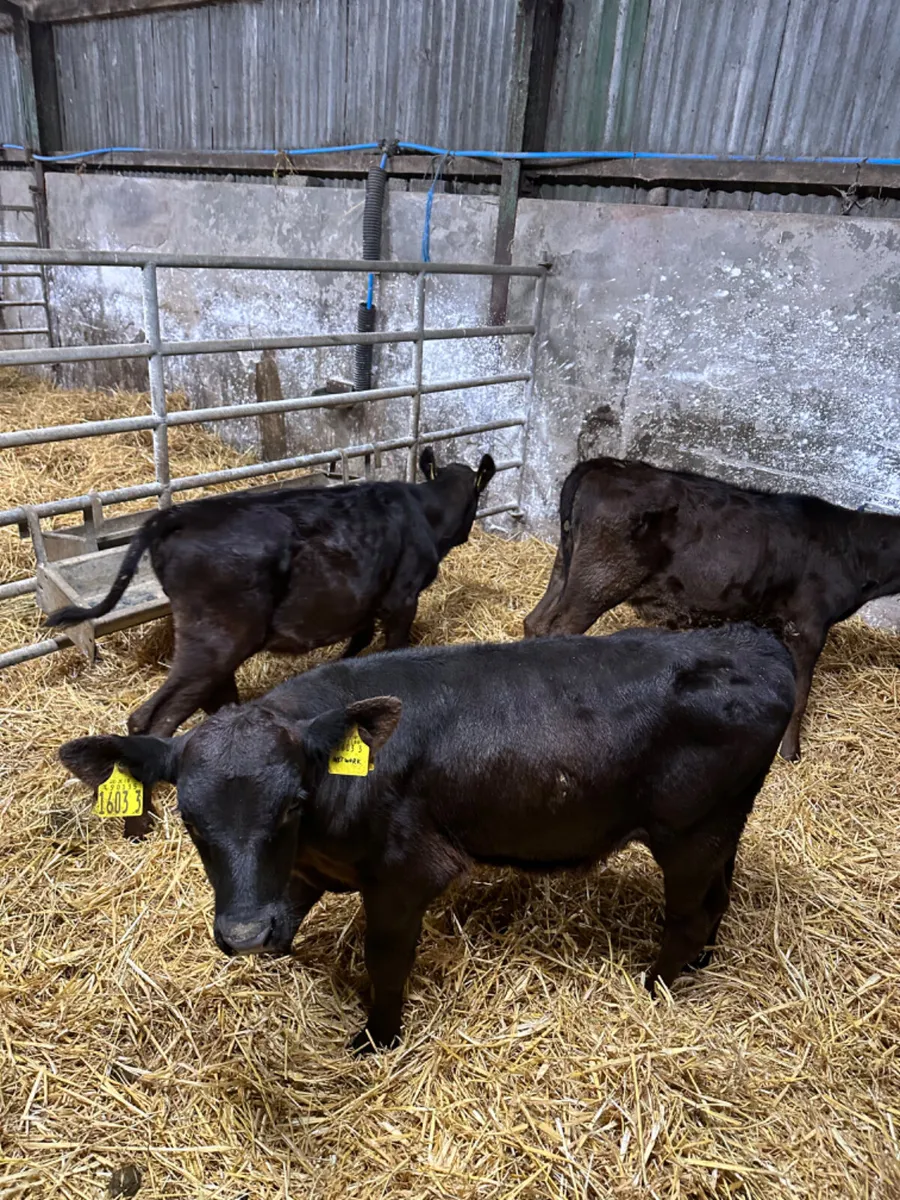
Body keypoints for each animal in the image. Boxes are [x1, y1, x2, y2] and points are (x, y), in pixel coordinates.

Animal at [46, 445, 495, 767]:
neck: (425, 513)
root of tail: (178, 514)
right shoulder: (402, 597)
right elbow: (392, 645)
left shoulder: (364, 602)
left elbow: (357, 642)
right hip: (216, 641)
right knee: (156, 717)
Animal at [58, 623, 795, 1053]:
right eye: (188, 818)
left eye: (293, 803)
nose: (240, 935)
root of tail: (758, 643)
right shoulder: (302, 873)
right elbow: (288, 916)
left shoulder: (405, 874)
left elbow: (387, 961)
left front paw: (376, 1040)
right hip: (724, 824)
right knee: (717, 895)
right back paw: (699, 964)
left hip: (690, 829)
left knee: (687, 911)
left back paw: (658, 985)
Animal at [524, 457, 900, 761]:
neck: (851, 551)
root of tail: (601, 464)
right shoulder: (808, 624)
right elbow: (802, 693)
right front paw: (790, 752)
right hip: (600, 579)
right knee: (558, 632)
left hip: (566, 565)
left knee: (536, 622)